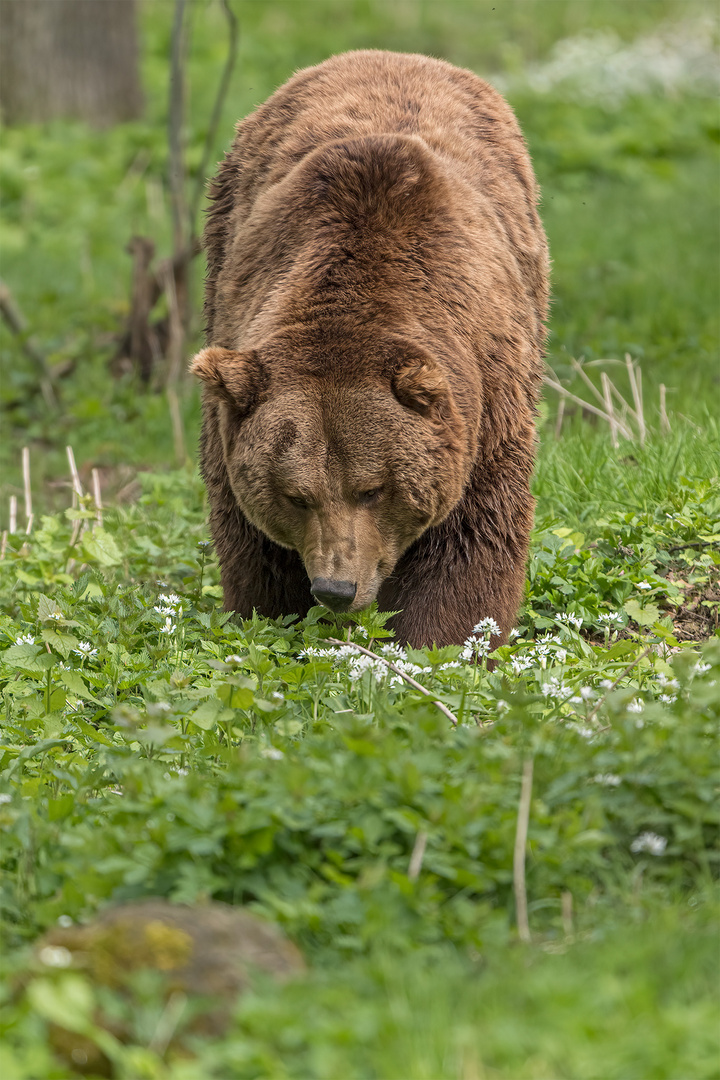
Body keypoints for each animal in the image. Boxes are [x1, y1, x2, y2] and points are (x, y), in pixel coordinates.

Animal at [188, 50, 548, 643]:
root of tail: (391, 54)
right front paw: (272, 613)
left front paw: (446, 636)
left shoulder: (486, 389)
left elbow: (472, 529)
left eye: (373, 488)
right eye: (296, 495)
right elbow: (251, 537)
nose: (336, 588)